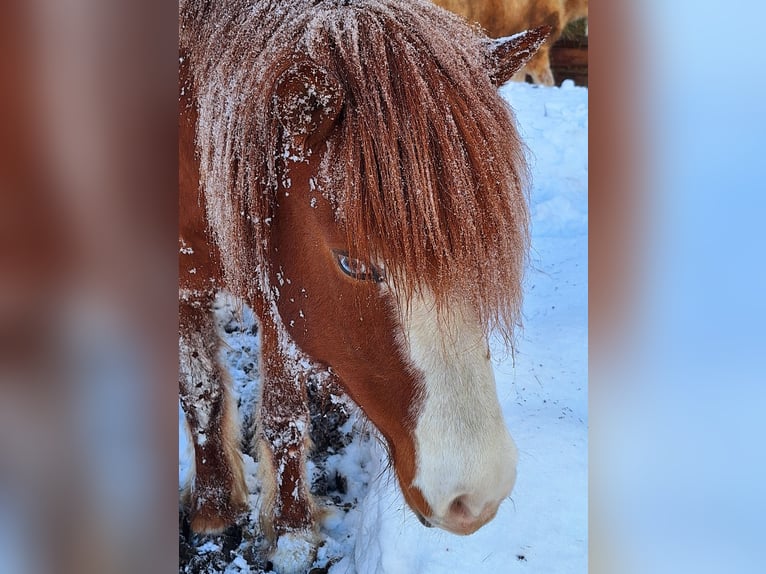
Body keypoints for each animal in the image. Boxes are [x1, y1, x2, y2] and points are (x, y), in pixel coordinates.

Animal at [181, 2, 552, 572]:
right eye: (351, 264)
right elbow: (201, 395)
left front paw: (291, 532)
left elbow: (285, 416)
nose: (475, 496)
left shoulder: (281, 300)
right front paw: (215, 508)